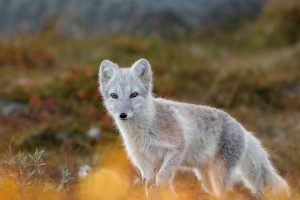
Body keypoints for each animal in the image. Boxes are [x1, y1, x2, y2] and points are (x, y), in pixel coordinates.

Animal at [98, 58, 288, 197]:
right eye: (114, 96)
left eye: (134, 94)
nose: (123, 115)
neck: (142, 132)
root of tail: (241, 127)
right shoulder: (143, 161)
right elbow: (149, 184)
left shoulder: (177, 148)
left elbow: (162, 177)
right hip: (205, 178)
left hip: (220, 175)